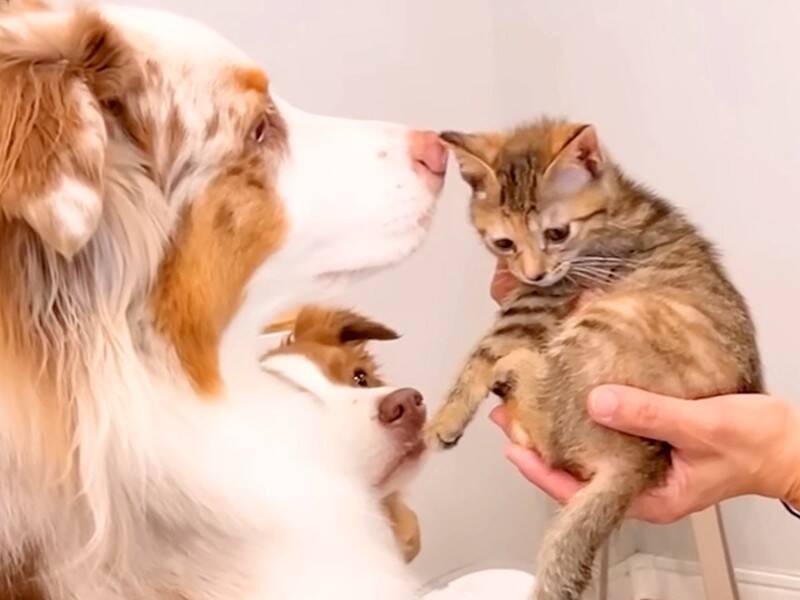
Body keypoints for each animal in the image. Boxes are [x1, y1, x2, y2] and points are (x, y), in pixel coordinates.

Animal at [425, 119, 763, 600]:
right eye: (505, 242)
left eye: (556, 233)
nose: (533, 272)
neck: (615, 205)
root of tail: (644, 460)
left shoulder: (543, 297)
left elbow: (486, 348)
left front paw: (443, 421)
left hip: (610, 319)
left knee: (550, 435)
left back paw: (517, 369)